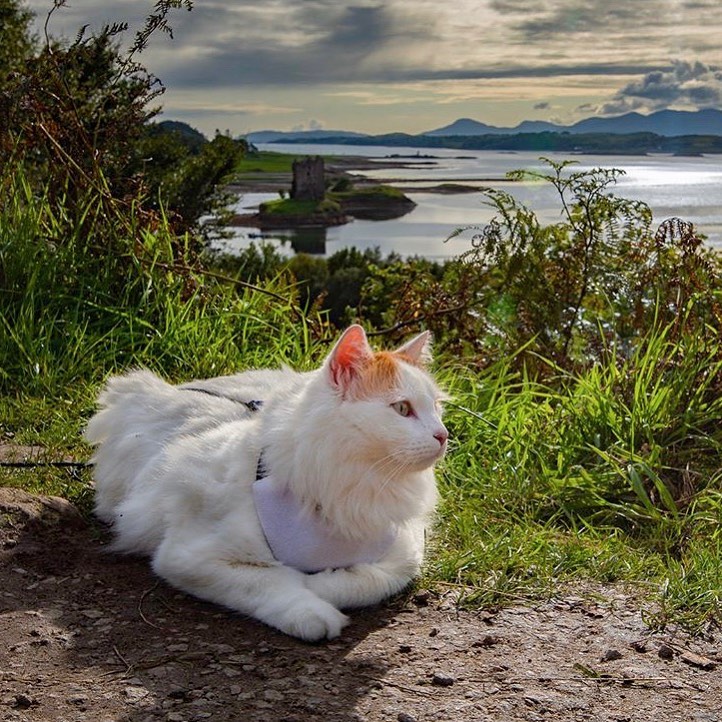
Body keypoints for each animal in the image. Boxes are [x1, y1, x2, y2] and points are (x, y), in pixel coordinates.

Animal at [84, 324, 444, 640]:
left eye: (437, 408)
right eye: (402, 409)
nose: (443, 435)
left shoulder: (406, 548)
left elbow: (368, 581)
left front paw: (322, 584)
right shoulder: (188, 554)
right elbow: (271, 580)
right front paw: (311, 609)